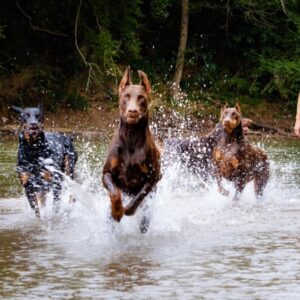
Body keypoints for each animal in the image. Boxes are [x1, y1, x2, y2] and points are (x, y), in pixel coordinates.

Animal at [102, 66, 161, 232]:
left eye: (141, 97)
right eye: (126, 96)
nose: (132, 111)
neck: (131, 137)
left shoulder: (154, 177)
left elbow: (139, 196)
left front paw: (128, 210)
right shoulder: (107, 173)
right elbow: (114, 193)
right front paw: (117, 211)